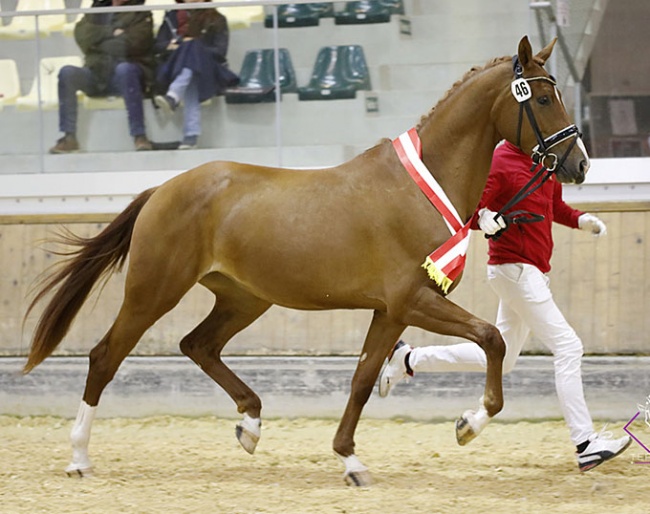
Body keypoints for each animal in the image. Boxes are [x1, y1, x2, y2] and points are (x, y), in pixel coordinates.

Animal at [22, 36, 588, 484]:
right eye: (542, 97)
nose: (579, 164)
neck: (421, 187)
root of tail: (163, 188)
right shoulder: (413, 299)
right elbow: (491, 339)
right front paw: (470, 423)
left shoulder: (390, 310)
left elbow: (363, 378)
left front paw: (350, 460)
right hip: (153, 291)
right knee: (105, 356)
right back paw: (79, 458)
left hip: (244, 299)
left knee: (197, 345)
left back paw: (250, 425)